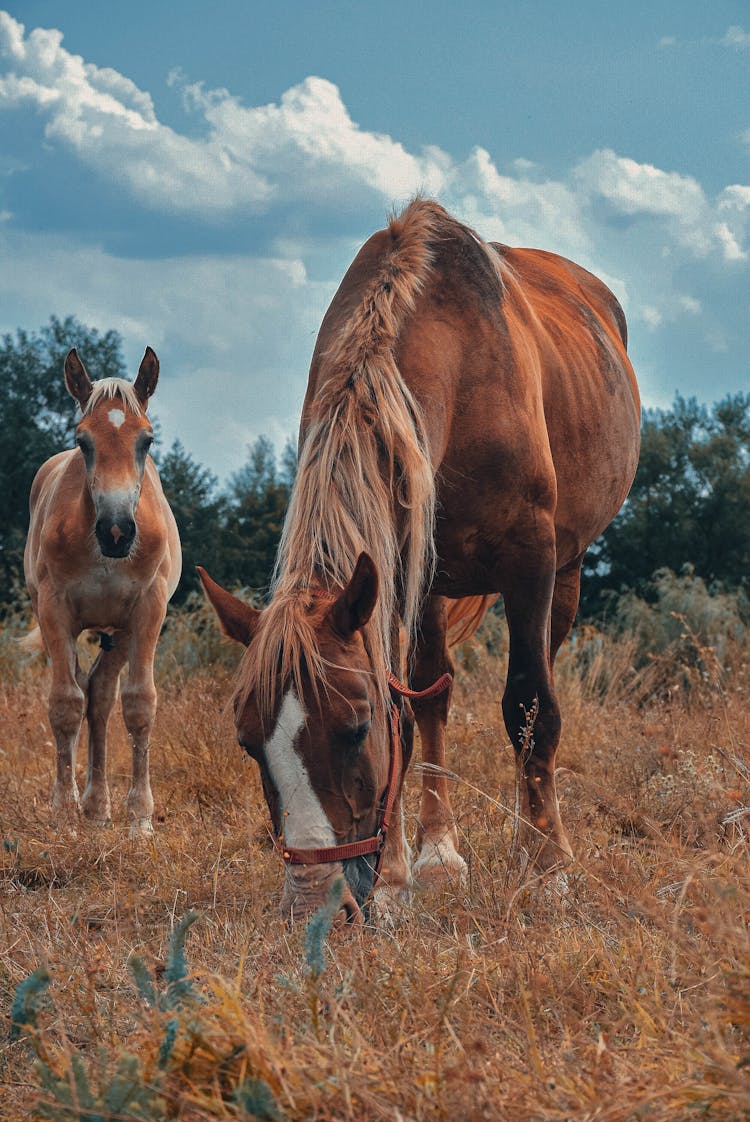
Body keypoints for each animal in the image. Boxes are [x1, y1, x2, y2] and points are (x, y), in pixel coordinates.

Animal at [23, 347, 181, 834]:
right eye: (84, 441)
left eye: (147, 441)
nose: (117, 531)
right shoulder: (55, 611)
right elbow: (64, 704)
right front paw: (63, 812)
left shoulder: (147, 611)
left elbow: (138, 704)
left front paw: (141, 819)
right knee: (82, 690)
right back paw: (83, 802)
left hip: (120, 633)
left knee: (102, 694)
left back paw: (98, 805)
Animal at [197, 201, 637, 920]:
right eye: (246, 739)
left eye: (353, 728)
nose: (312, 902)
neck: (460, 364)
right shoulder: (395, 574)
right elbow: (409, 712)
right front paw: (404, 874)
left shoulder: (532, 561)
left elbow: (530, 707)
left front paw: (547, 868)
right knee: (435, 693)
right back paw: (437, 855)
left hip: (565, 573)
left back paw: (530, 839)